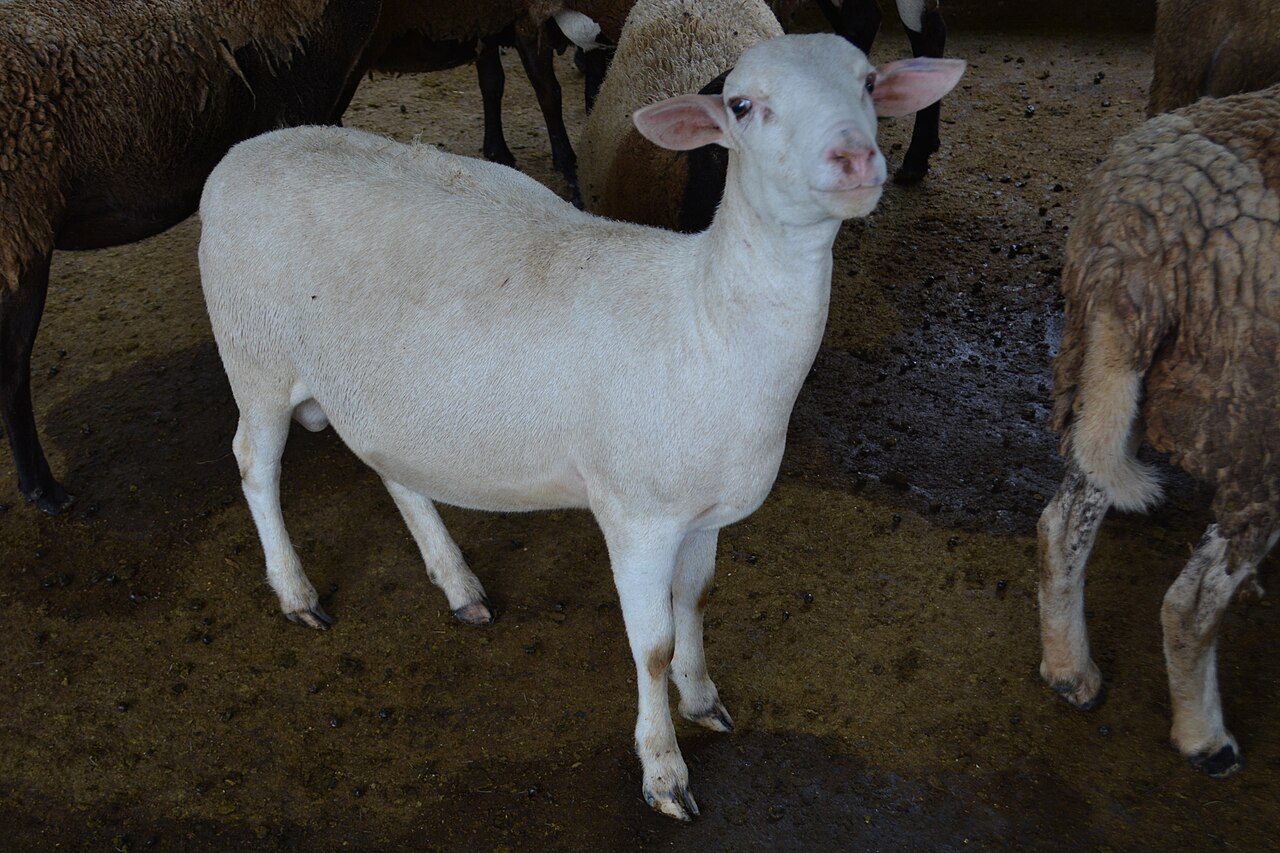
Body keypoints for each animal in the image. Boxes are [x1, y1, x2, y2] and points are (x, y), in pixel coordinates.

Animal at [198, 34, 963, 819]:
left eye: (869, 83)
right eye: (744, 105)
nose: (854, 158)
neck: (705, 319)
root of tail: (243, 152)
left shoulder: (704, 509)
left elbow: (697, 601)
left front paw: (702, 699)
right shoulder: (638, 513)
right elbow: (652, 645)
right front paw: (664, 770)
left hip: (375, 390)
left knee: (393, 469)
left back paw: (459, 584)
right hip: (254, 353)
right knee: (254, 464)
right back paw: (297, 593)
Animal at [1038, 83, 1280, 778]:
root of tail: (1136, 257)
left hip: (1105, 381)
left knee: (1061, 523)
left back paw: (1071, 672)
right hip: (1256, 431)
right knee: (1190, 605)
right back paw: (1206, 740)